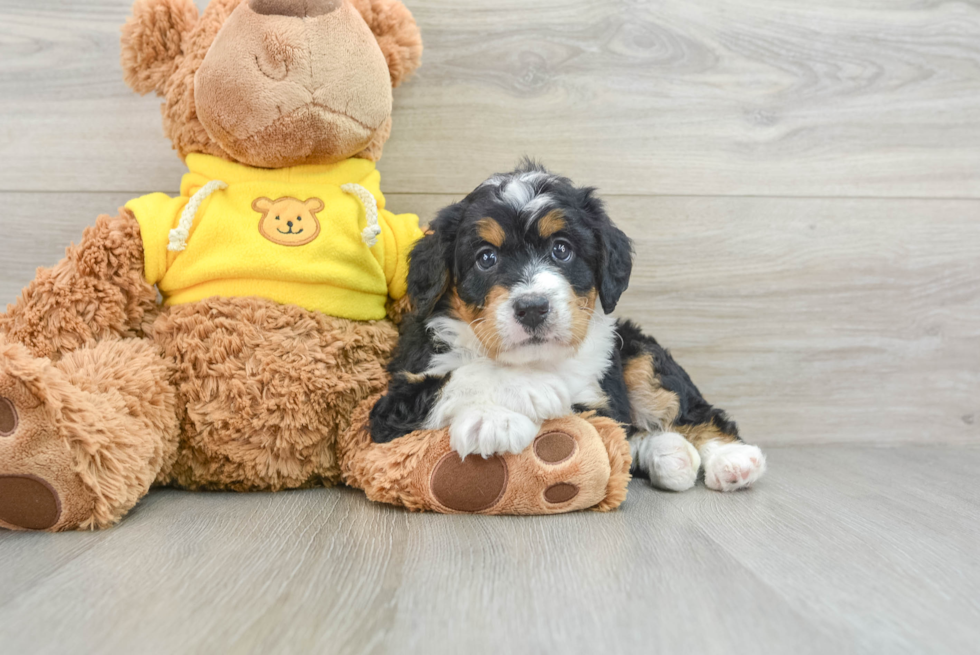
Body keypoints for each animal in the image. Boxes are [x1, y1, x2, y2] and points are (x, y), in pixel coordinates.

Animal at [370, 163, 764, 492]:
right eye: (486, 258)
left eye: (562, 250)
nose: (532, 308)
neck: (535, 360)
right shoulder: (389, 409)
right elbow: (455, 378)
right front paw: (499, 414)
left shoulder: (599, 402)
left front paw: (502, 412)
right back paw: (670, 455)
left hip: (639, 355)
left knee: (691, 410)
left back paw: (732, 460)